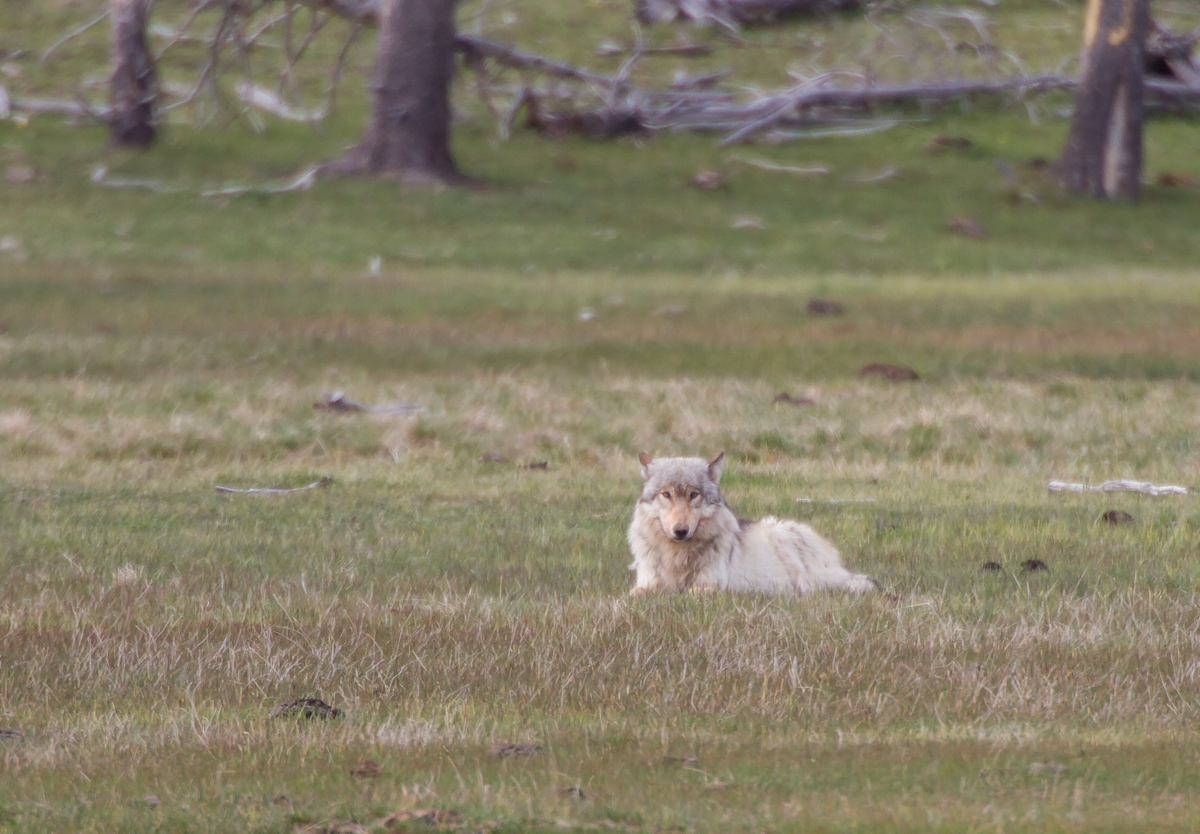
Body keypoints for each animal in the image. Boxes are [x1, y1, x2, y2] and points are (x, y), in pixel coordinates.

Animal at [627, 452, 878, 595]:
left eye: (693, 495)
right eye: (666, 494)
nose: (680, 531)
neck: (677, 556)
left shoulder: (712, 586)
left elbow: (690, 594)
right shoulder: (646, 583)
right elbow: (634, 595)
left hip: (783, 538)